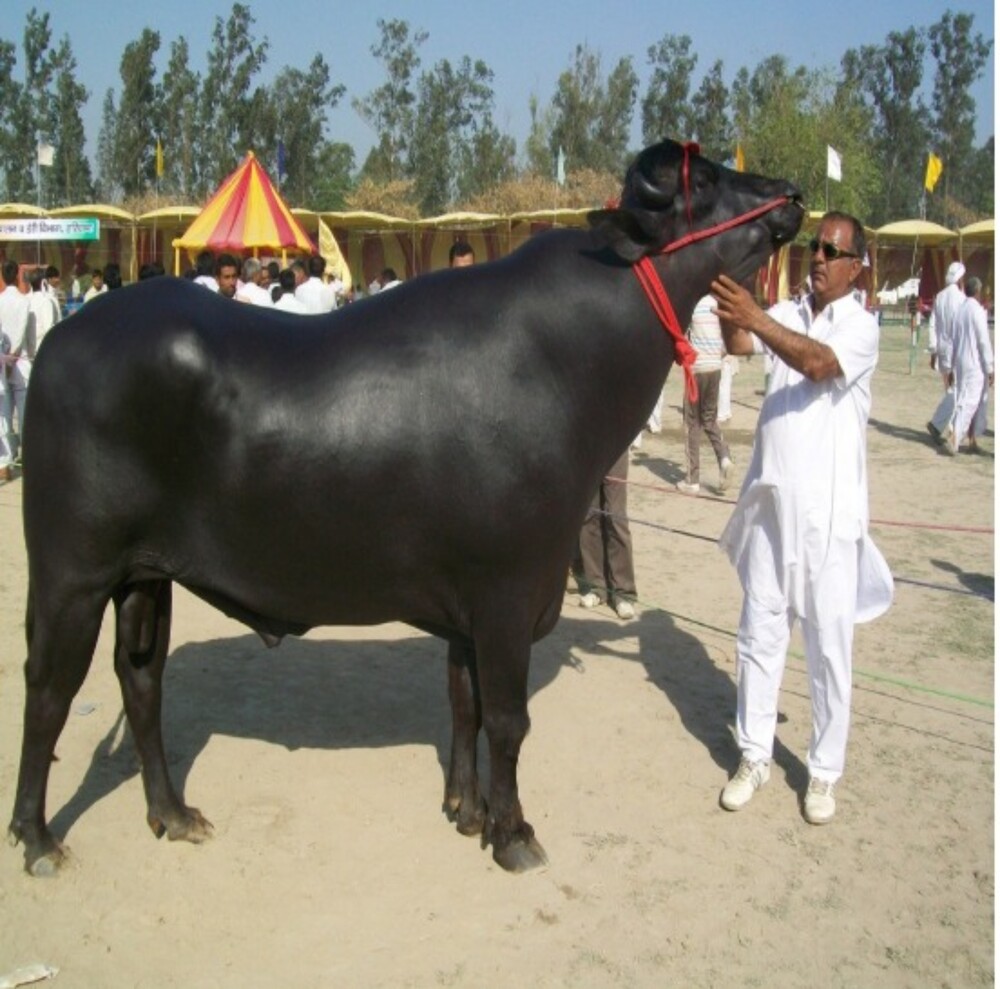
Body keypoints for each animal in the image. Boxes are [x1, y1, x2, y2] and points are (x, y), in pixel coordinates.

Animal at [8, 140, 803, 876]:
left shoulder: (468, 610)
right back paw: (38, 837)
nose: (792, 193)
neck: (563, 361)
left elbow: (464, 703)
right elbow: (507, 719)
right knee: (47, 690)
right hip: (73, 575)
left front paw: (467, 809)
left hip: (145, 577)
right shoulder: (508, 595)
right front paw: (513, 832)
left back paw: (171, 813)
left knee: (141, 681)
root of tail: (61, 339)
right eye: (707, 182)